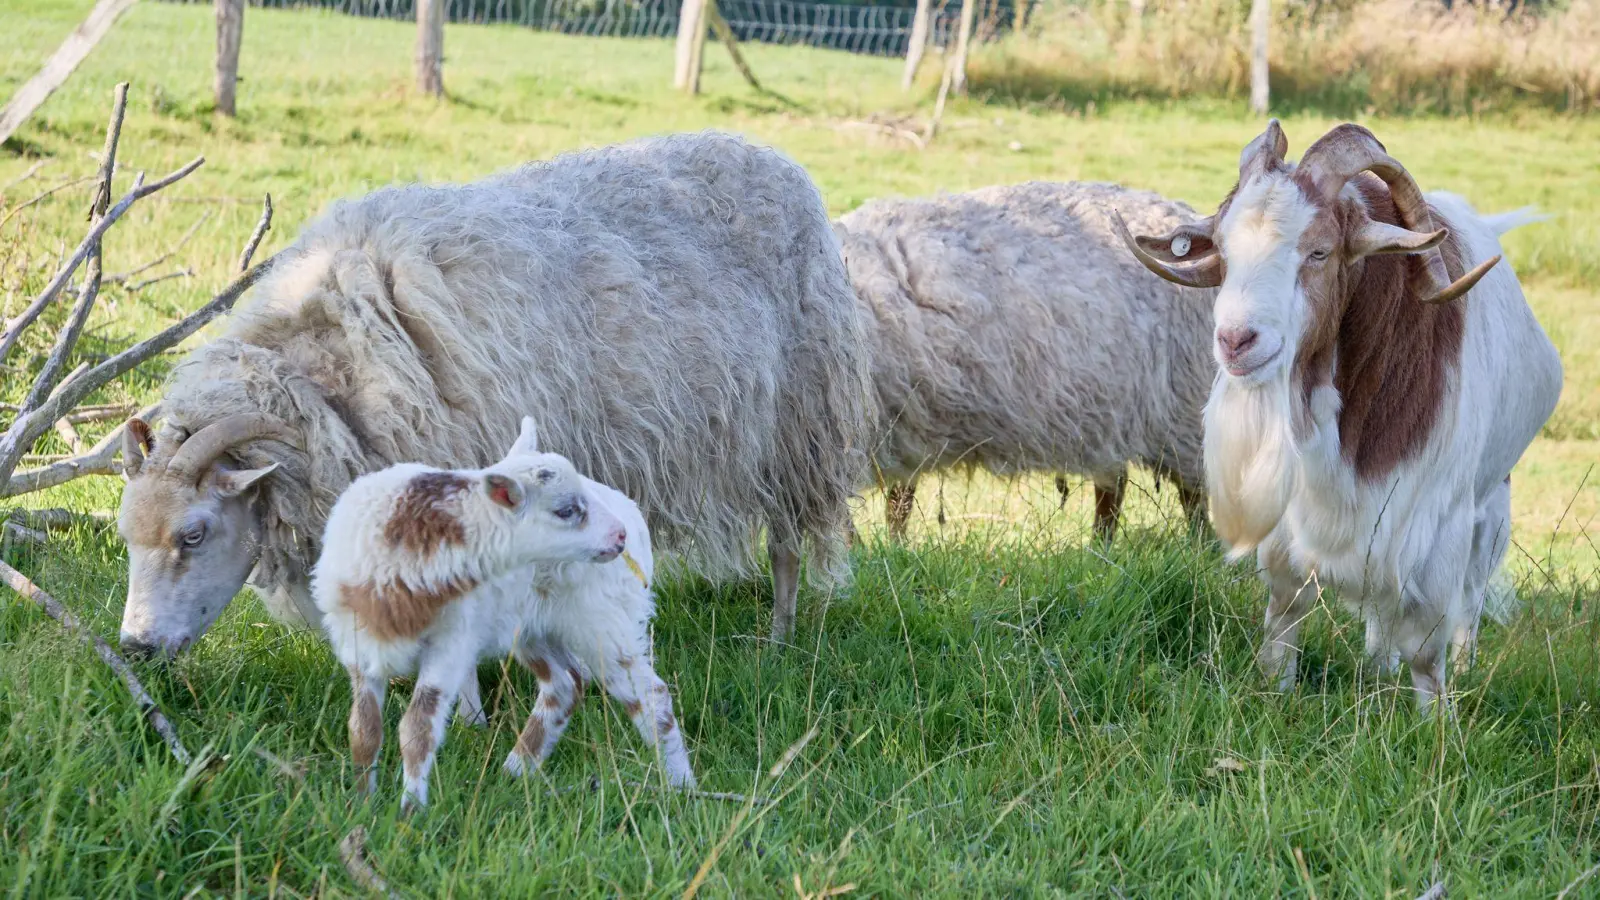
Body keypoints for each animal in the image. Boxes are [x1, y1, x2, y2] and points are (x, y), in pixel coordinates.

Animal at [116, 131, 876, 672]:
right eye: (127, 536)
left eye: (193, 534)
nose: (135, 649)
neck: (336, 378)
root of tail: (780, 160)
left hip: (798, 427)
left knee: (787, 546)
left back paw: (779, 641)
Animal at [838, 178, 1209, 534]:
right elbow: (894, 504)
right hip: (1111, 413)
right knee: (1113, 487)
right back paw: (1100, 549)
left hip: (1183, 410)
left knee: (1194, 495)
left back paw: (1197, 545)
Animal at [1113, 119, 1561, 707]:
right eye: (1224, 253)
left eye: (1320, 252)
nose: (1236, 341)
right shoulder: (1297, 518)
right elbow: (1286, 610)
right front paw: (1276, 691)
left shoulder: (1434, 520)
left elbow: (1427, 648)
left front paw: (1437, 720)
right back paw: (1377, 669)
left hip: (1491, 504)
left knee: (1469, 599)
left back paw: (1459, 669)